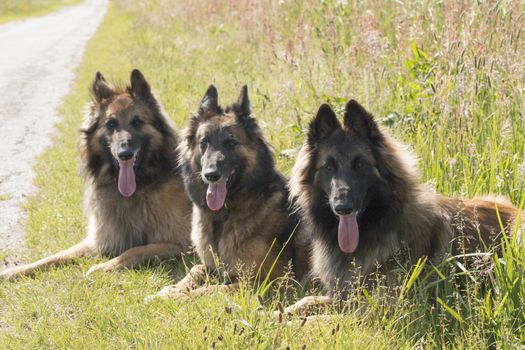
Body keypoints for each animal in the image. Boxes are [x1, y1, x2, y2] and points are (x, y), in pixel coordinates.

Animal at [0, 69, 192, 280]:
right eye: (111, 124)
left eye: (137, 122)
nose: (125, 154)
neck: (141, 186)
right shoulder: (99, 239)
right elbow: (55, 256)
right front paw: (14, 271)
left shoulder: (181, 243)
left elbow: (134, 250)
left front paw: (103, 267)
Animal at [145, 85, 310, 300]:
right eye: (204, 143)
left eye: (231, 143)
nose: (211, 175)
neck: (223, 216)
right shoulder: (211, 265)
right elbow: (195, 270)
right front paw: (169, 290)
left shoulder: (269, 282)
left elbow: (209, 289)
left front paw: (177, 296)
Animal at [278, 100, 520, 316]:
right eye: (328, 167)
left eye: (360, 164)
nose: (342, 207)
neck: (379, 224)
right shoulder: (342, 296)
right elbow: (306, 301)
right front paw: (275, 314)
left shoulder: (376, 309)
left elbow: (320, 319)